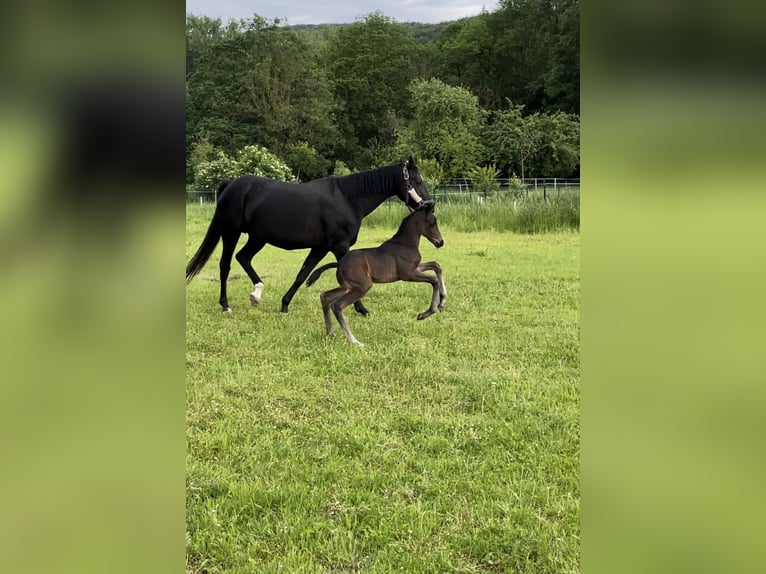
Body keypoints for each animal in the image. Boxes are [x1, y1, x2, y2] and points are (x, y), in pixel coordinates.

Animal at [306, 201, 448, 346]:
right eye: (432, 222)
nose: (440, 242)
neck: (405, 243)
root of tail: (339, 263)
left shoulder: (416, 267)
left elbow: (436, 266)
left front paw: (442, 303)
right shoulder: (408, 274)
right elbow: (434, 280)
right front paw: (427, 313)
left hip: (348, 286)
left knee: (325, 296)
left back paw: (330, 333)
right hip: (363, 286)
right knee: (337, 305)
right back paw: (354, 341)